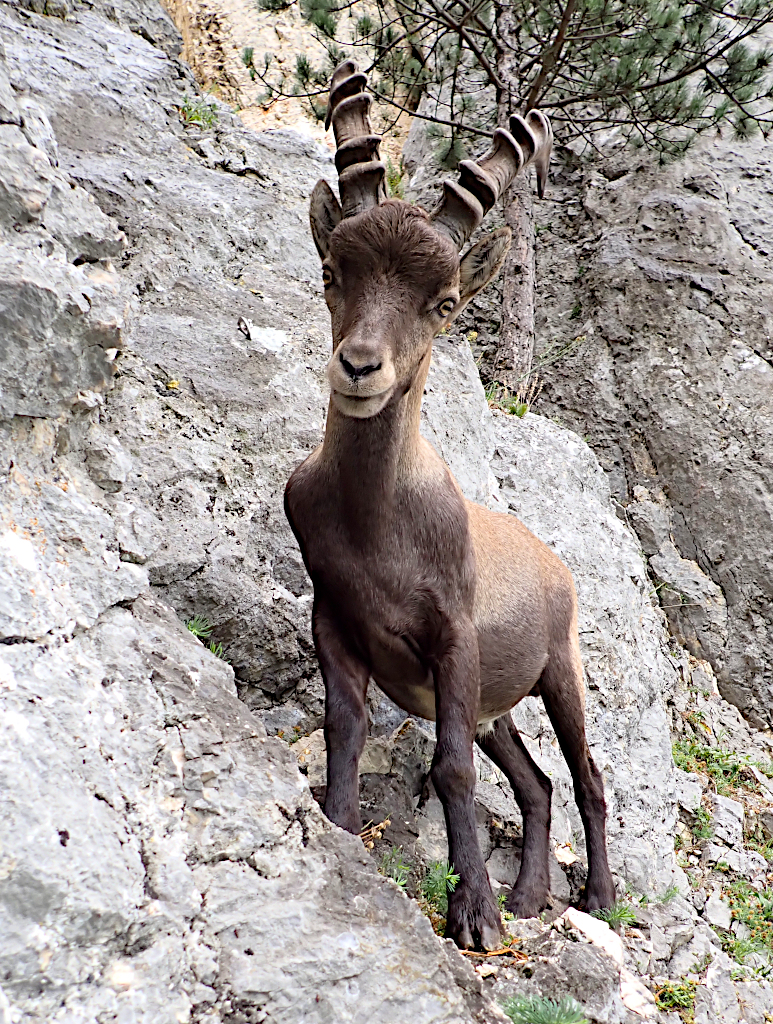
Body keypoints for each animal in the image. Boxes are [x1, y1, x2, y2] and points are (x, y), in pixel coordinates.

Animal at [284, 61, 615, 950]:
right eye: (332, 273)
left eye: (443, 301)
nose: (359, 367)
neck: (377, 522)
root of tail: (555, 563)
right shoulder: (336, 619)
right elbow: (344, 730)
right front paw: (338, 827)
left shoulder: (453, 640)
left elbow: (450, 768)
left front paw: (473, 911)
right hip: (499, 709)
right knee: (535, 784)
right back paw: (532, 894)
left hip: (559, 671)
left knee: (586, 776)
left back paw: (598, 895)